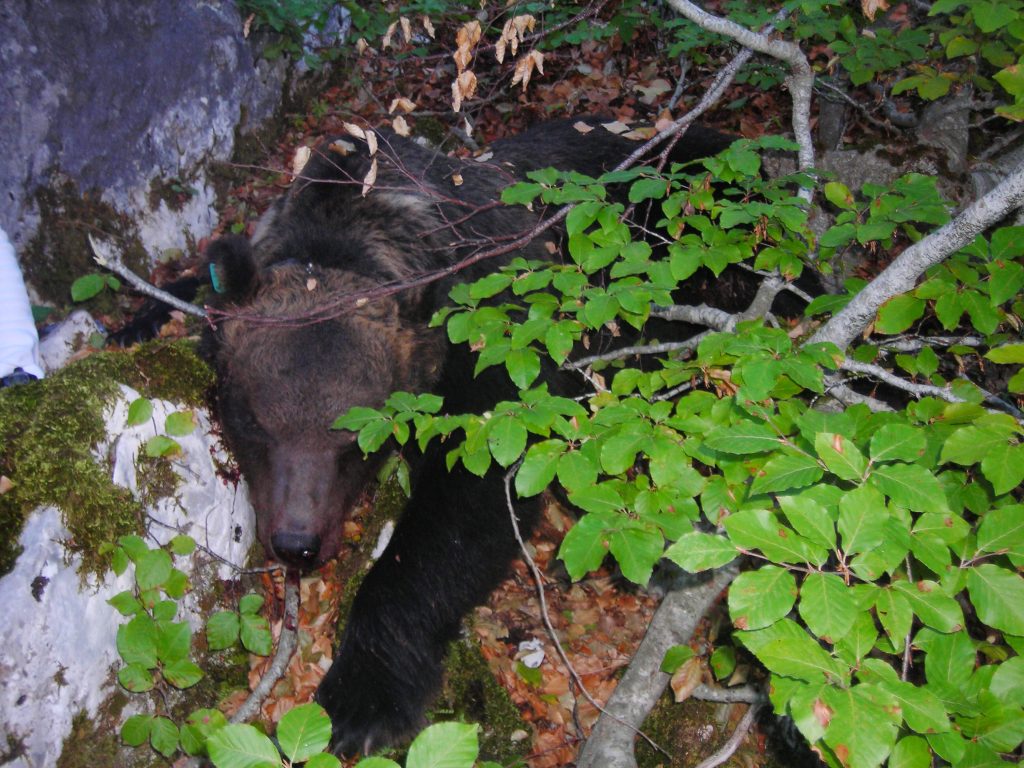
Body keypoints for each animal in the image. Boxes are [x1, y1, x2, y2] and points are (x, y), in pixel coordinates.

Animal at [198, 118, 735, 753]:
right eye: (255, 420)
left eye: (354, 438)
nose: (296, 543)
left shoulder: (492, 347)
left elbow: (467, 508)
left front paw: (361, 695)